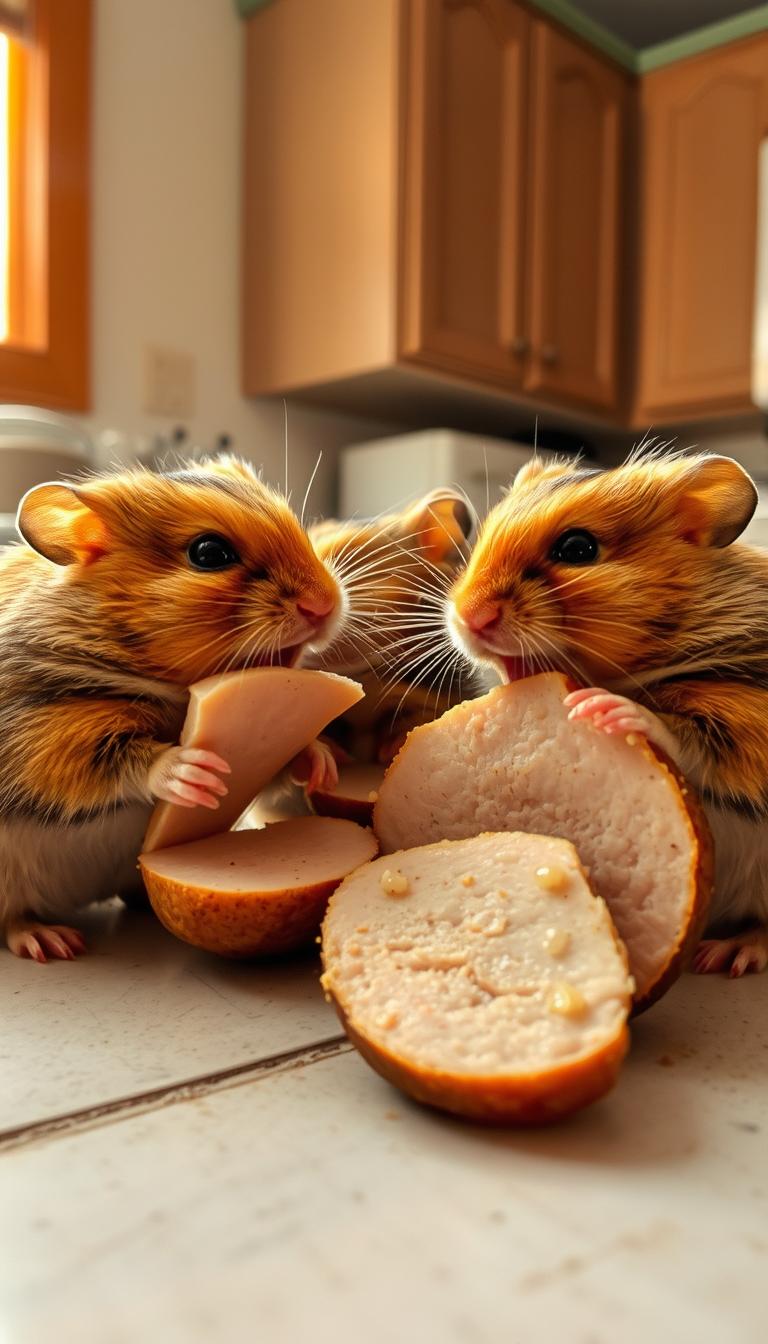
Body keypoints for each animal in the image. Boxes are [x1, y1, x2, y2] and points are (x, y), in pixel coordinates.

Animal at [0, 455, 344, 961]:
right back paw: (52, 942)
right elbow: (116, 758)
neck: (173, 692)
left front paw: (323, 763)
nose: (325, 605)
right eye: (209, 553)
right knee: (13, 920)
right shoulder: (44, 733)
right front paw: (191, 772)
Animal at [447, 448, 768, 978]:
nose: (469, 619)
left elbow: (690, 738)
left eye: (578, 548)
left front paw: (605, 708)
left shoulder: (750, 719)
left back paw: (728, 955)